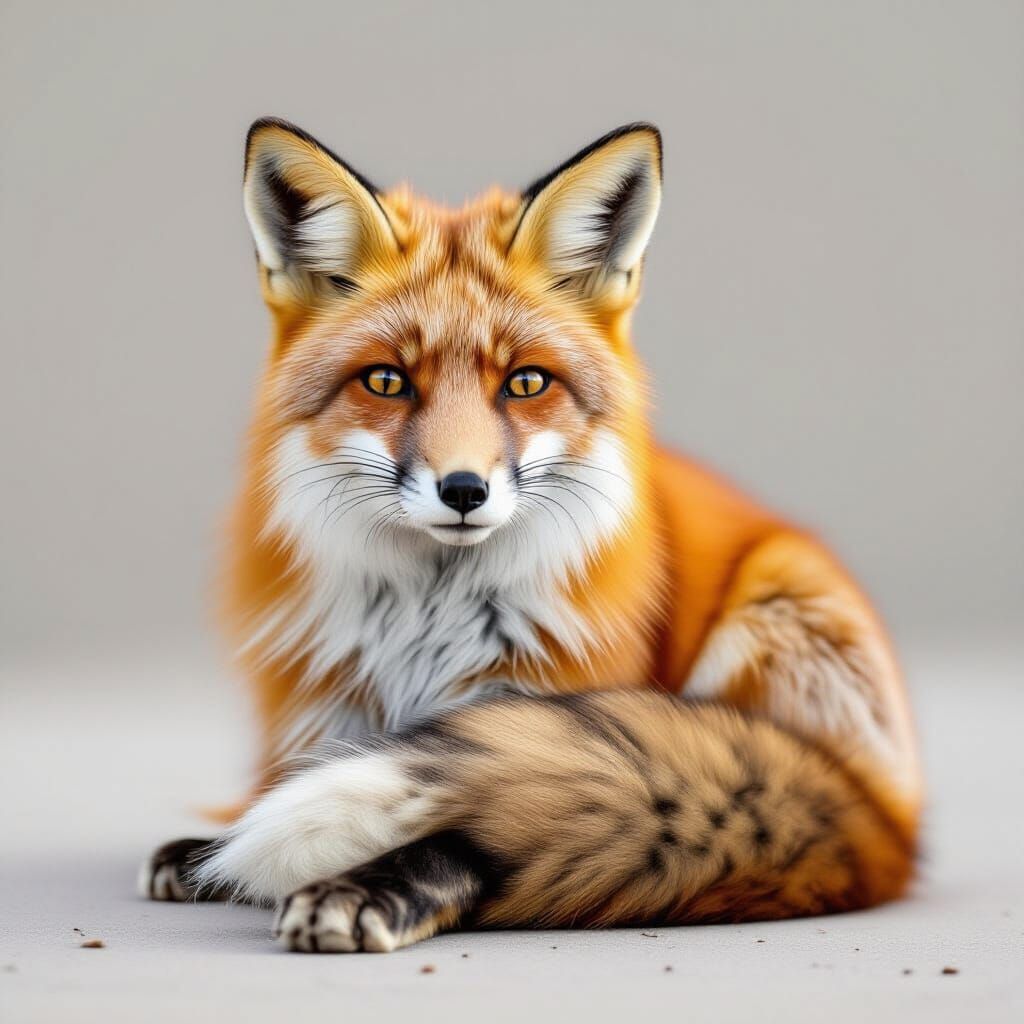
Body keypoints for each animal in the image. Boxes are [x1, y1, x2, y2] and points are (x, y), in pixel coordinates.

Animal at [140, 118, 922, 952]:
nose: (463, 490)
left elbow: (468, 837)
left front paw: (361, 886)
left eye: (525, 383)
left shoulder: (542, 740)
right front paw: (216, 854)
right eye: (386, 381)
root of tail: (889, 825)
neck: (428, 626)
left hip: (777, 604)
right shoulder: (333, 711)